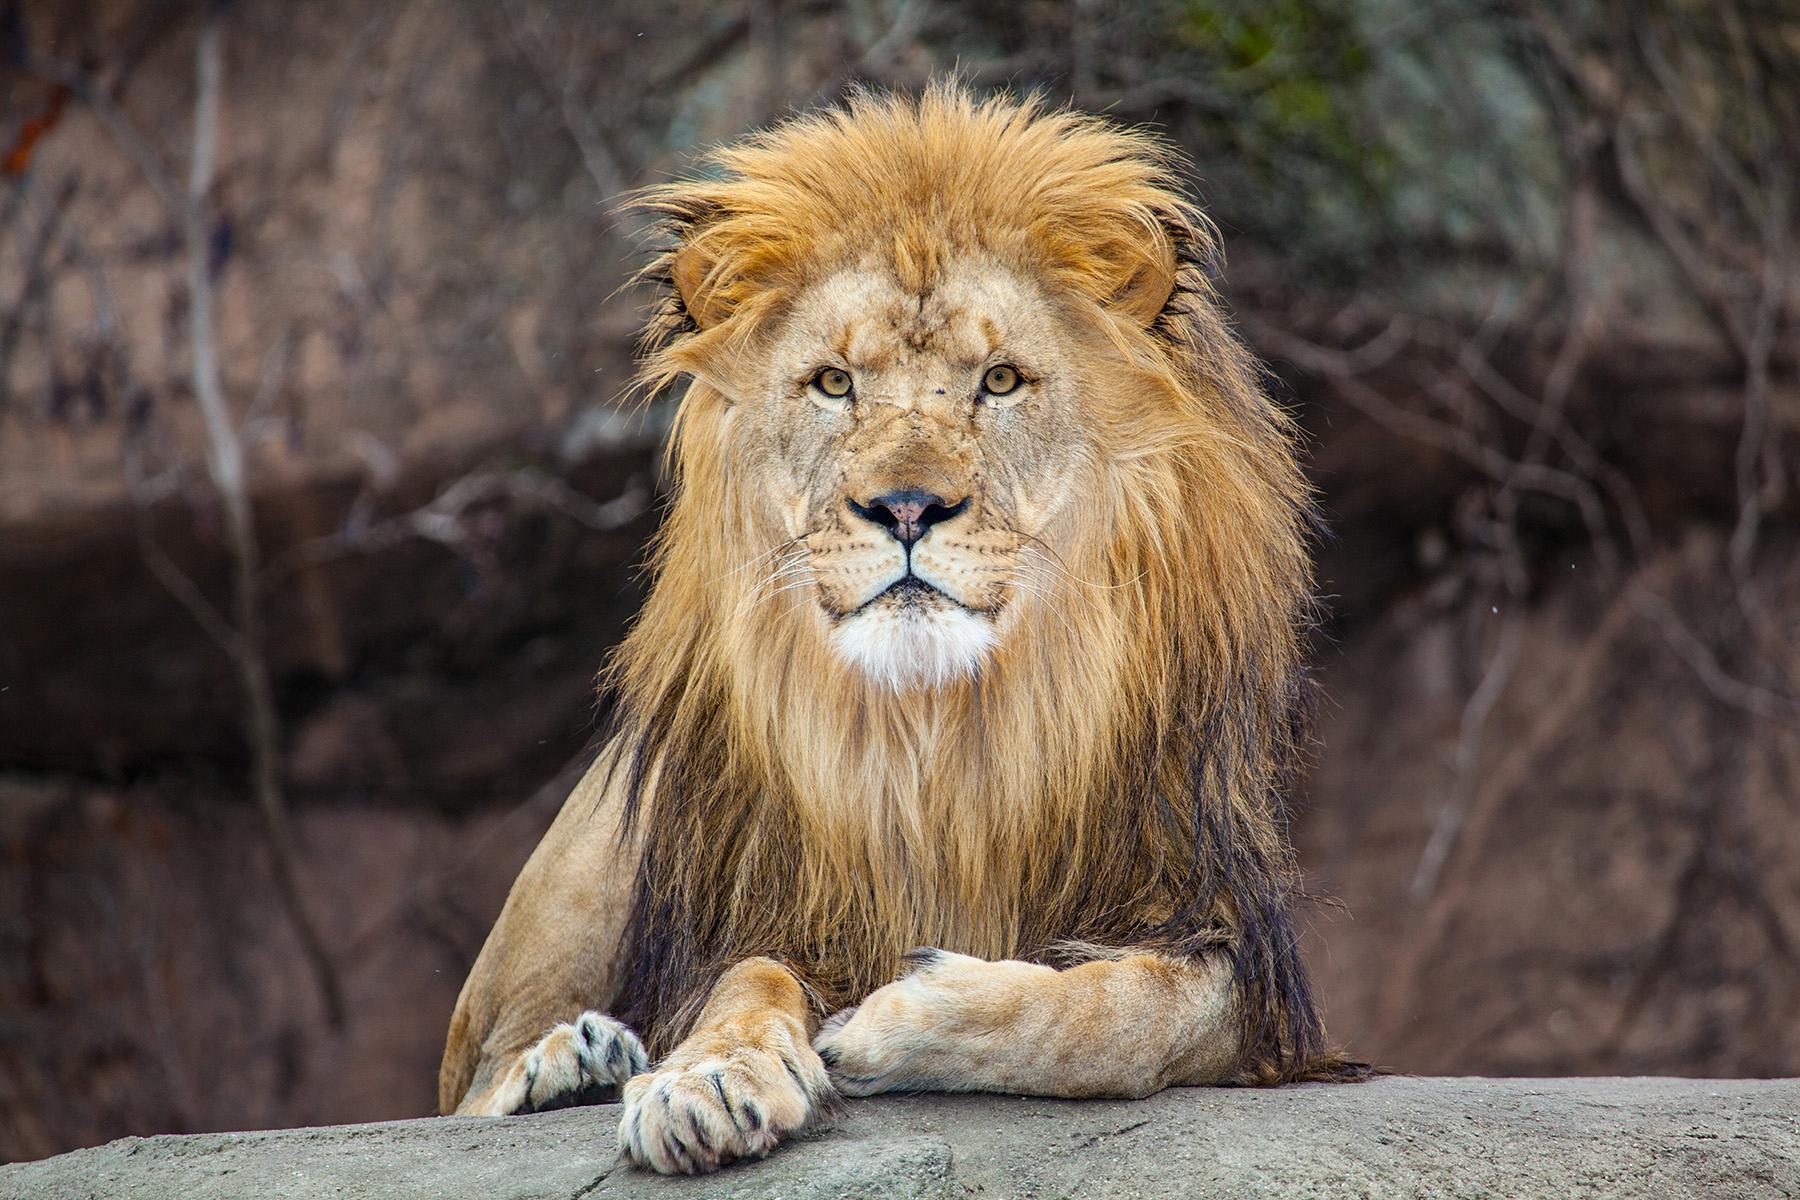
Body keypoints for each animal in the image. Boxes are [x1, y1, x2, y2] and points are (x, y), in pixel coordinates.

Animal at [439, 82, 1360, 1173]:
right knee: (470, 1084)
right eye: (834, 383)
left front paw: (896, 1019)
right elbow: (745, 979)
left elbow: (1118, 1012)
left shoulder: (1227, 944)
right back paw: (574, 1063)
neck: (940, 734)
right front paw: (708, 1078)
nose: (908, 507)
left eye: (999, 381)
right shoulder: (757, 909)